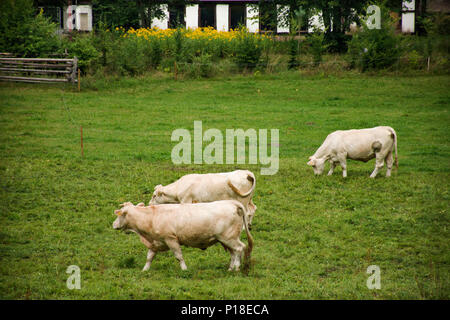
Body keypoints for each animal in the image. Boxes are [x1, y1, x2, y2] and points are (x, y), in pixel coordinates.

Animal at [112, 201, 253, 272]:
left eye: (119, 214)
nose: (113, 224)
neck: (152, 217)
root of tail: (232, 203)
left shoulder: (171, 239)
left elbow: (178, 256)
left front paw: (184, 269)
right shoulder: (155, 243)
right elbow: (149, 257)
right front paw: (145, 270)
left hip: (229, 238)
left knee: (239, 248)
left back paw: (236, 268)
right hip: (225, 239)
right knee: (234, 253)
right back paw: (230, 268)